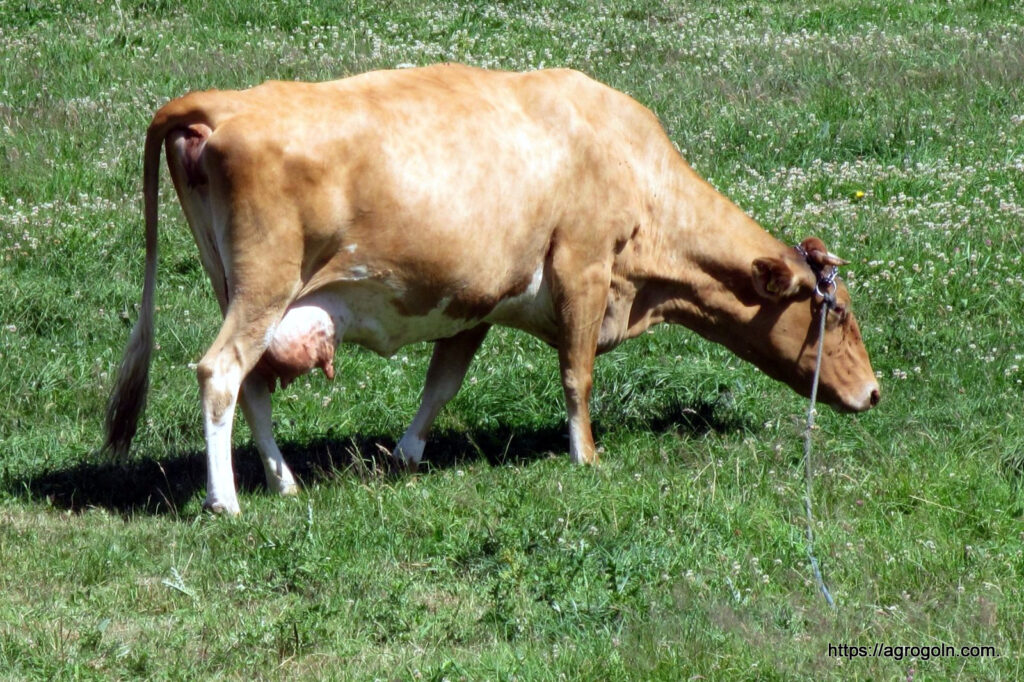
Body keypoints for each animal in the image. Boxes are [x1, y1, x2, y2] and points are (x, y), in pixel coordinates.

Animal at [104, 64, 880, 515]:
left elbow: (441, 385)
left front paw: (406, 456)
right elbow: (577, 377)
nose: (874, 393)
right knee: (220, 372)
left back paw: (283, 481)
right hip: (264, 283)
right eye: (836, 313)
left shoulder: (474, 300)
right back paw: (227, 502)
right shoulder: (583, 269)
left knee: (255, 384)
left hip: (242, 289)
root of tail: (220, 102)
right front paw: (586, 457)